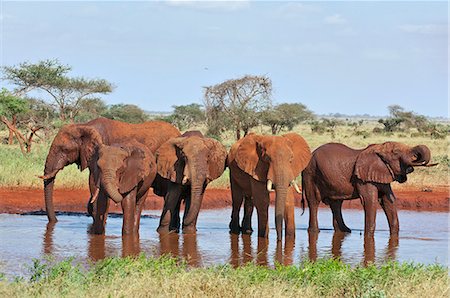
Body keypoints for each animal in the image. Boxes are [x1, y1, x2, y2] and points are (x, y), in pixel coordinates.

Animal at [300, 141, 434, 236]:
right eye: (396, 152)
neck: (379, 148)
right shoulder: (363, 178)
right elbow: (370, 201)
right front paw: (368, 236)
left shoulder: (382, 172)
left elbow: (387, 201)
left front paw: (394, 235)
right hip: (310, 173)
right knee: (314, 201)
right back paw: (314, 231)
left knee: (336, 204)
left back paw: (345, 231)